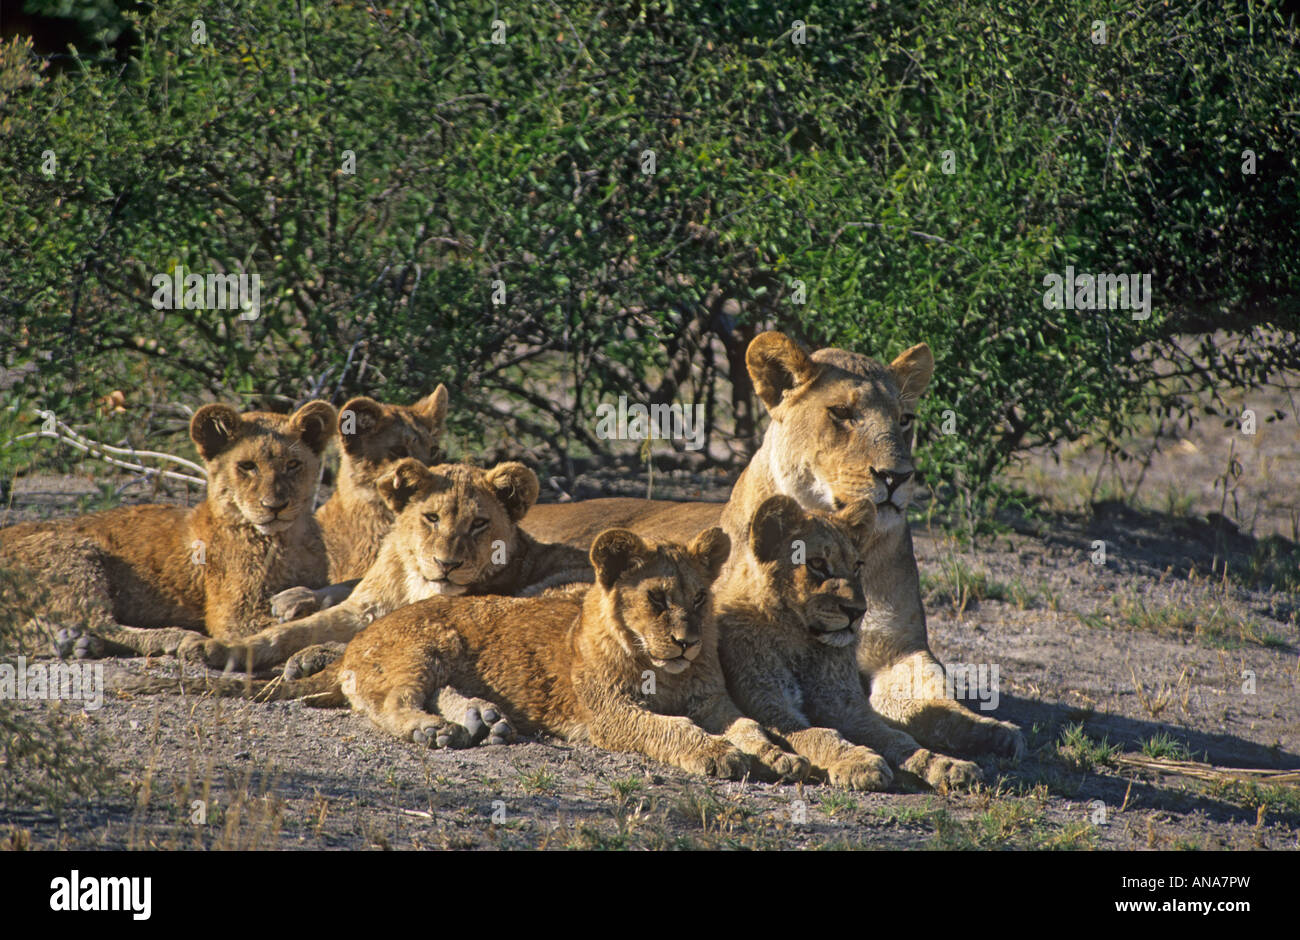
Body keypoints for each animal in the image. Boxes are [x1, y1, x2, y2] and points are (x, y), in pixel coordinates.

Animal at [0, 401, 337, 658]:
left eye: (293, 464)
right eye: (247, 466)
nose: (275, 505)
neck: (286, 540)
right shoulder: (234, 615)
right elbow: (296, 627)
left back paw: (70, 642)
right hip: (74, 554)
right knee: (101, 623)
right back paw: (171, 638)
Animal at [183, 457, 592, 673]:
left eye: (479, 523)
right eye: (431, 518)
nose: (446, 564)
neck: (416, 582)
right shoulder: (363, 607)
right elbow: (290, 631)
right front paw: (219, 648)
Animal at [522, 331, 1025, 759]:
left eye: (905, 420)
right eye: (842, 414)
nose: (897, 477)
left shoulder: (898, 649)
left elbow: (935, 691)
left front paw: (990, 730)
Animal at [716, 494, 982, 791]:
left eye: (857, 566)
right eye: (817, 564)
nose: (858, 611)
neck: (802, 643)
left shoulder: (846, 707)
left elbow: (897, 738)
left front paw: (946, 764)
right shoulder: (768, 704)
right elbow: (819, 735)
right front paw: (859, 762)